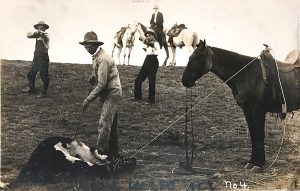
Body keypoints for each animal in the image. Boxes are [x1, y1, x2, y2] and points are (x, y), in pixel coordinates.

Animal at [182, 39, 298, 172]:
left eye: (198, 57)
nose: (184, 80)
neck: (246, 74)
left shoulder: (258, 109)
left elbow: (259, 134)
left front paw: (259, 164)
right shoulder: (247, 109)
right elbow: (253, 134)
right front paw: (252, 161)